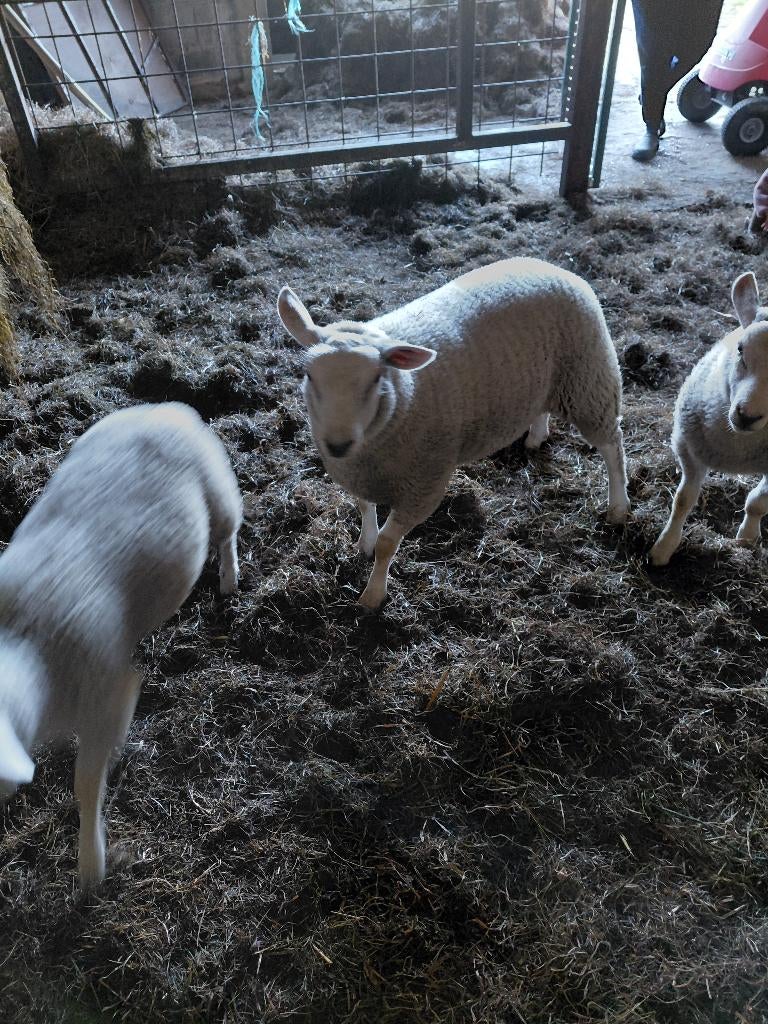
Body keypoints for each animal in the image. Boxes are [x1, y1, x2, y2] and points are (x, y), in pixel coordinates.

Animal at [0, 402, 242, 889]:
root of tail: (169, 407)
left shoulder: (105, 694)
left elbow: (86, 781)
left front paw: (92, 870)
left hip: (219, 488)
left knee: (229, 530)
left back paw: (229, 580)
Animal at [277, 257, 629, 609]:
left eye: (376, 378)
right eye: (309, 375)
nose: (337, 445)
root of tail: (550, 266)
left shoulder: (423, 486)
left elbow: (388, 545)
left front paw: (373, 595)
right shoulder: (359, 473)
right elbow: (365, 508)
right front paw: (365, 543)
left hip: (588, 380)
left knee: (613, 446)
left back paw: (619, 507)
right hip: (546, 379)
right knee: (544, 408)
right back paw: (535, 437)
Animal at [651, 271, 768, 567]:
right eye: (740, 349)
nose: (746, 416)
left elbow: (758, 502)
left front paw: (747, 538)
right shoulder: (689, 449)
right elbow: (683, 500)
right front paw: (663, 548)